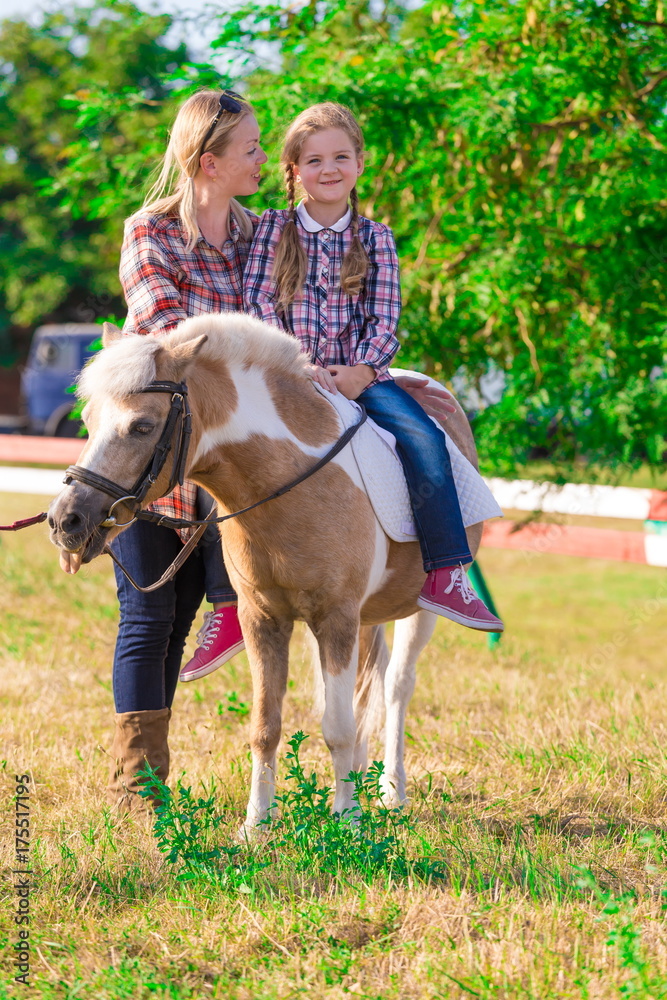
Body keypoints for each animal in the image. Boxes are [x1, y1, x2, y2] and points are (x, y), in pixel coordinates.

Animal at [49, 314, 482, 836]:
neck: (291, 481)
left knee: (397, 687)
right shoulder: (264, 620)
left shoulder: (336, 618)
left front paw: (347, 822)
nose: (65, 521)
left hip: (417, 610)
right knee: (366, 691)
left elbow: (337, 726)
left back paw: (390, 792)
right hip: (365, 619)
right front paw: (257, 825)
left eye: (142, 426)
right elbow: (266, 727)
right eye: (89, 421)